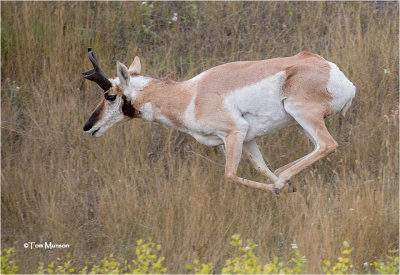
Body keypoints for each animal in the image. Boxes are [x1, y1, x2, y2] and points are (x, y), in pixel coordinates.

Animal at [83, 48, 354, 195]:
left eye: (110, 96)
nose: (88, 127)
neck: (190, 94)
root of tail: (334, 71)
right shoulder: (247, 139)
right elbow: (261, 167)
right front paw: (287, 188)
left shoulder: (234, 133)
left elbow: (230, 175)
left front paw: (279, 189)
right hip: (301, 123)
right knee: (310, 151)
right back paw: (285, 180)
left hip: (303, 115)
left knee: (327, 145)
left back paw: (282, 182)